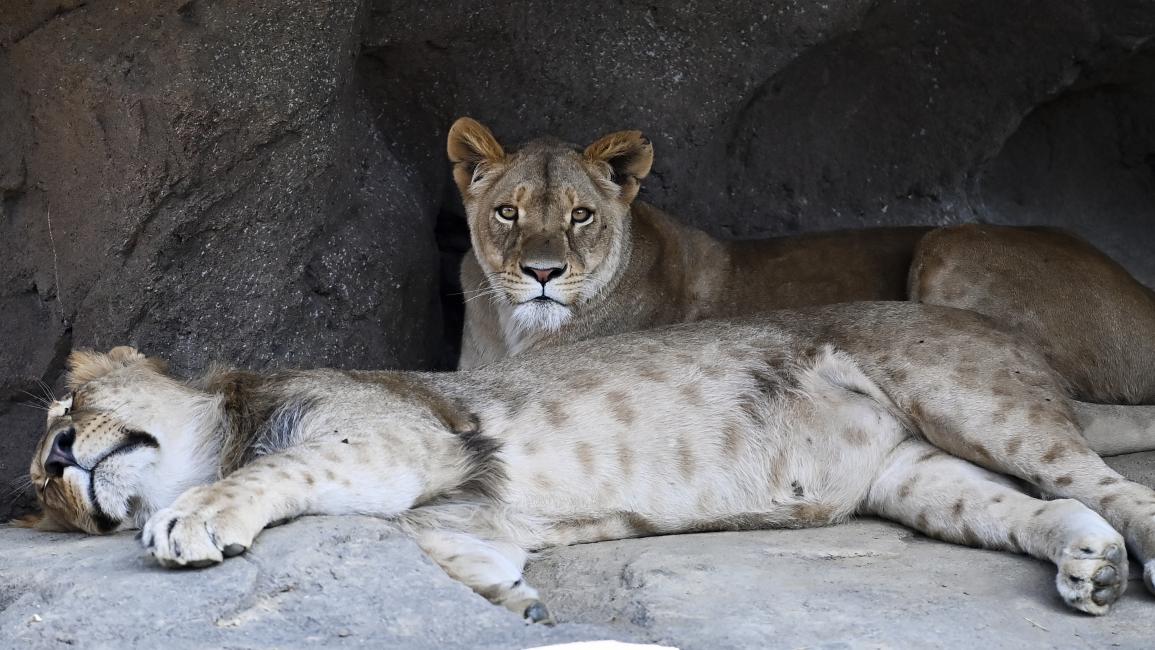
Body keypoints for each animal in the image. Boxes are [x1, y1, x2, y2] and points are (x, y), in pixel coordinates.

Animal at [20, 302, 1155, 623]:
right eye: (44, 491)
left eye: (67, 409)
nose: (64, 457)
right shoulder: (448, 503)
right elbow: (434, 547)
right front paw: (512, 599)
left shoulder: (399, 435)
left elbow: (268, 476)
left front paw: (193, 516)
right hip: (916, 476)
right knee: (1038, 508)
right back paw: (1090, 568)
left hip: (966, 395)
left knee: (1107, 480)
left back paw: (1130, 553)